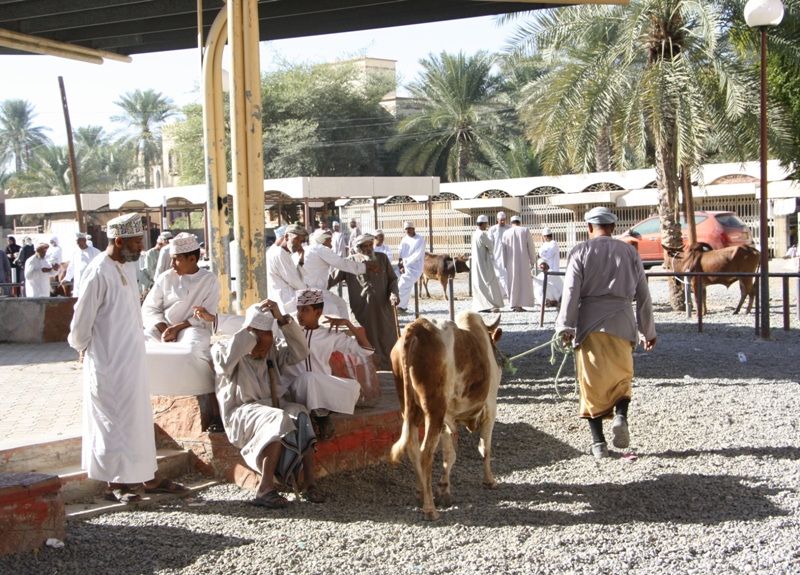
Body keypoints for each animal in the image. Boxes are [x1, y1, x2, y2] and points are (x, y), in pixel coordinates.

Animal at [390, 310, 504, 520]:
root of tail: (419, 326)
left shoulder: (447, 418)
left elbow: (449, 455)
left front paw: (443, 490)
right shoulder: (490, 407)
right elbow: (485, 447)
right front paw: (489, 480)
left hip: (409, 407)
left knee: (412, 447)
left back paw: (421, 493)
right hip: (433, 409)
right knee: (426, 452)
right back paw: (430, 509)